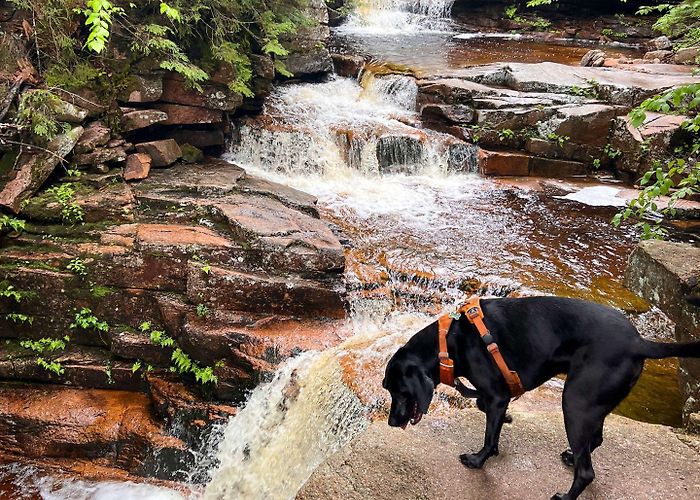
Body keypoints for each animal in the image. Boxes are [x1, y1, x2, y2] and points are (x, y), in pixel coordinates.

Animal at [386, 296, 700, 500]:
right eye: (388, 389)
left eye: (400, 391)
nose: (390, 423)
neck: (449, 343)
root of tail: (639, 342)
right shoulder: (496, 398)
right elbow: (486, 412)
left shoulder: (497, 395)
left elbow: (489, 436)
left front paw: (477, 460)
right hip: (591, 403)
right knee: (594, 442)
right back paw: (572, 456)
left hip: (574, 403)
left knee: (587, 472)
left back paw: (565, 497)